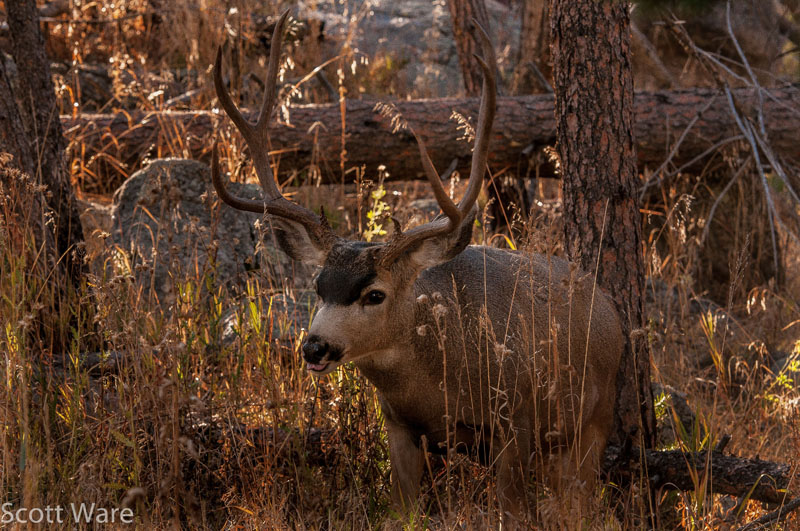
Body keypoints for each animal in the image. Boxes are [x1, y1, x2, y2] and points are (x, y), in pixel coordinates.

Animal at [206, 10, 624, 522]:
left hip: (595, 420)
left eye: (375, 294)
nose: (315, 347)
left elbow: (512, 512)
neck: (435, 382)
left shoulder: (514, 419)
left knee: (579, 500)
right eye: (319, 286)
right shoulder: (399, 425)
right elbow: (401, 511)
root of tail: (606, 304)